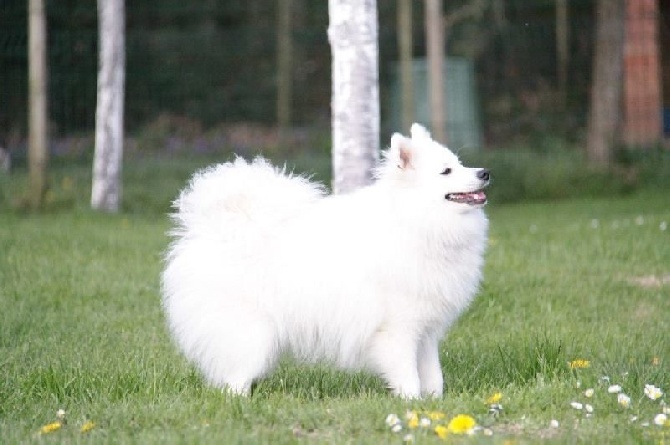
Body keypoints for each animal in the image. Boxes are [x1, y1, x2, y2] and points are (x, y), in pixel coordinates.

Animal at [161, 123, 488, 398]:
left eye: (460, 163)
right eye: (446, 171)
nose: (484, 172)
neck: (417, 222)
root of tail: (213, 230)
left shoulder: (426, 329)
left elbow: (433, 374)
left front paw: (434, 401)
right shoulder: (397, 328)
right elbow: (407, 373)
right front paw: (411, 402)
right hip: (251, 332)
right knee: (236, 375)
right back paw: (240, 402)